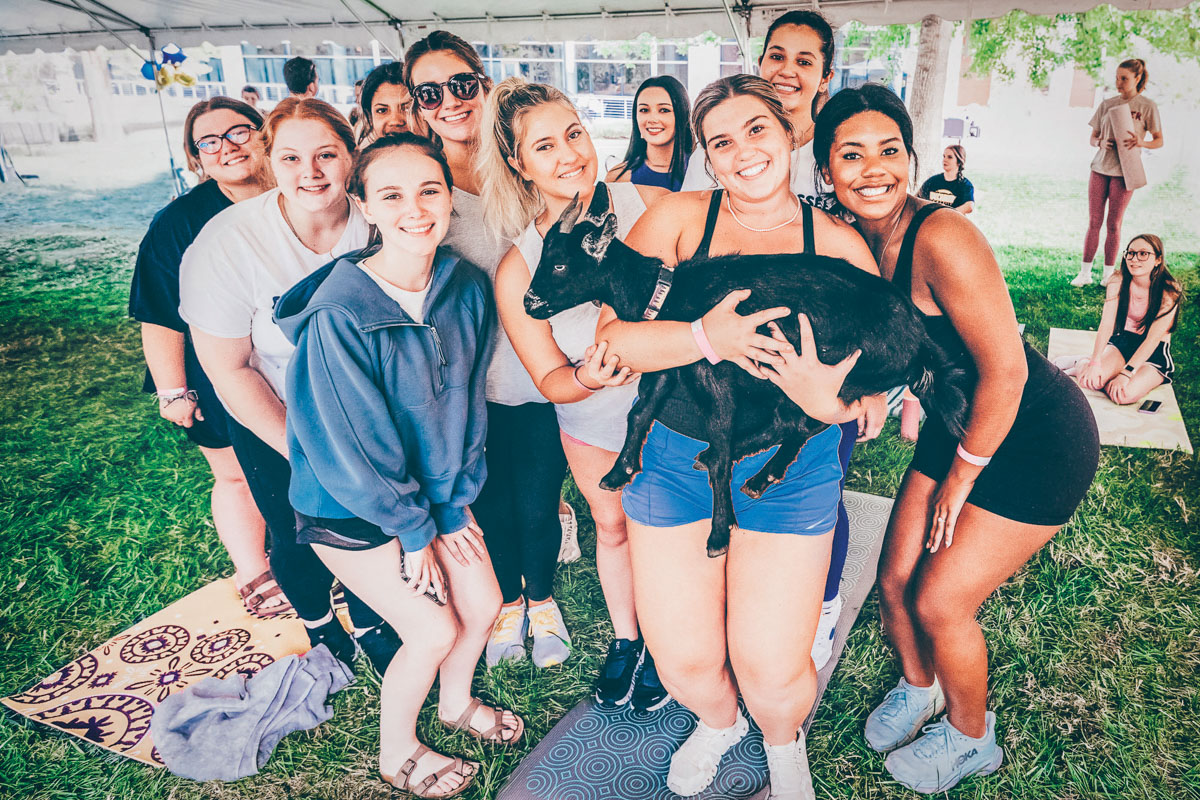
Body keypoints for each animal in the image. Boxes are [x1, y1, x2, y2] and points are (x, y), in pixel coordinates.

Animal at [523, 199, 964, 556]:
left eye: (560, 264)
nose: (529, 303)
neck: (669, 293)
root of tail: (919, 341)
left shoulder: (715, 374)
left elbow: (719, 442)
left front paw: (720, 533)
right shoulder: (674, 365)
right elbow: (640, 414)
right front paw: (619, 473)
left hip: (823, 374)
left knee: (801, 422)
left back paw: (755, 473)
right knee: (791, 423)